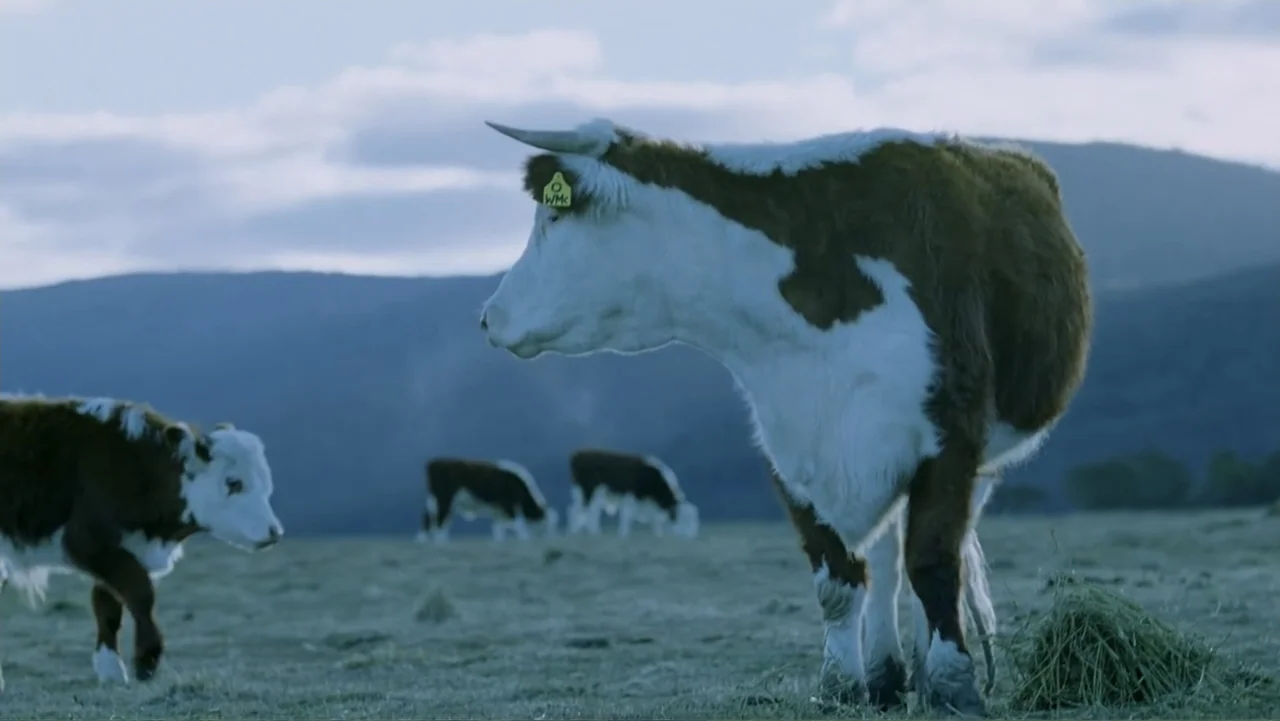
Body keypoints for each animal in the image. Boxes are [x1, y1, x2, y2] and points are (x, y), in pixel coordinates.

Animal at [0, 393, 283, 689]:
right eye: (234, 483)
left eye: (266, 482)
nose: (274, 531)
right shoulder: (87, 541)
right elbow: (141, 594)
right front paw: (146, 661)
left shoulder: (123, 550)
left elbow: (108, 608)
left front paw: (111, 669)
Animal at [416, 458, 559, 543]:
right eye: (548, 523)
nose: (551, 538)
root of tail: (435, 462)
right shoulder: (508, 504)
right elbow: (519, 523)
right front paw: (525, 539)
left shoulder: (499, 509)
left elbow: (498, 527)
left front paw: (500, 542)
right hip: (444, 500)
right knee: (440, 521)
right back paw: (441, 543)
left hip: (434, 501)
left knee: (428, 519)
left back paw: (423, 541)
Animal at [566, 449, 700, 539]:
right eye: (686, 519)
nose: (692, 536)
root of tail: (579, 453)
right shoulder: (632, 497)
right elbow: (627, 516)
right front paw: (623, 534)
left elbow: (654, 520)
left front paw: (657, 534)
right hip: (589, 493)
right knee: (586, 512)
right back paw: (590, 532)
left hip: (583, 494)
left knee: (579, 510)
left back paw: (579, 531)